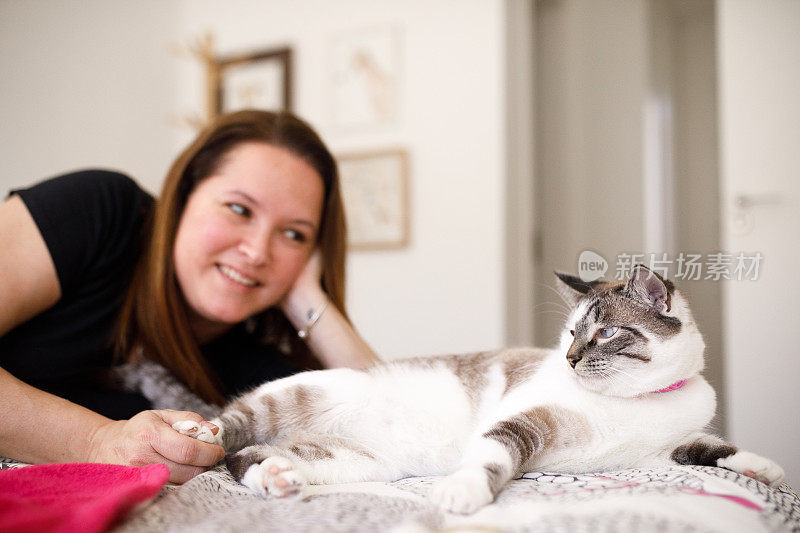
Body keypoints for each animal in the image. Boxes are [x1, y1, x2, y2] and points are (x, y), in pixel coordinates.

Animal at [173, 264, 780, 512]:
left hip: (350, 462)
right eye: (570, 333)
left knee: (250, 460)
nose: (570, 358)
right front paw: (461, 495)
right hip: (288, 400)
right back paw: (195, 430)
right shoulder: (521, 423)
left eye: (605, 333)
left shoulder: (664, 450)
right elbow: (489, 460)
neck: (633, 404)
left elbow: (714, 449)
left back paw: (278, 477)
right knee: (230, 431)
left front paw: (767, 470)